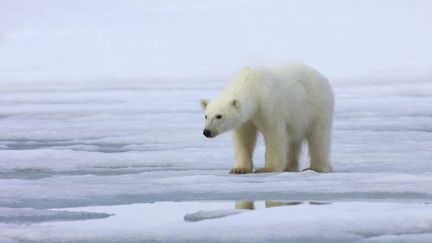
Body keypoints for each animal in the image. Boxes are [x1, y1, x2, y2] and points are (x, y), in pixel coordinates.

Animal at [200, 62, 334, 173]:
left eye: (219, 116)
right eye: (206, 116)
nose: (207, 132)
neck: (251, 84)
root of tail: (322, 77)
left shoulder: (268, 104)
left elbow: (274, 134)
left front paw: (267, 168)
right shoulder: (246, 119)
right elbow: (244, 139)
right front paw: (239, 169)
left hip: (317, 107)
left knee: (318, 137)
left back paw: (317, 167)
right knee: (293, 140)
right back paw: (289, 167)